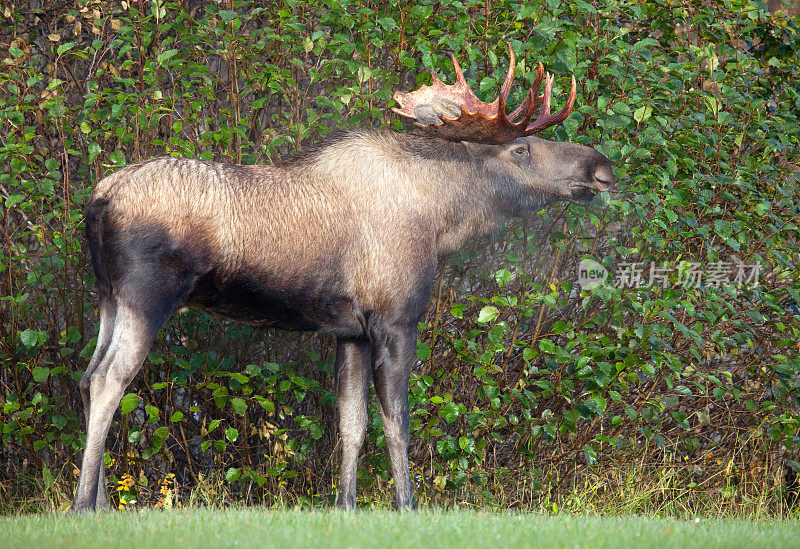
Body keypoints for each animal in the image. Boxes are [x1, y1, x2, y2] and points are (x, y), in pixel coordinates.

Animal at [72, 46, 616, 510]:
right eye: (521, 147)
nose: (601, 168)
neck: (443, 219)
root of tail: (99, 199)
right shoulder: (396, 319)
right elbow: (396, 423)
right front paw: (407, 505)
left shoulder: (350, 331)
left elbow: (351, 423)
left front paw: (346, 505)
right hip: (147, 296)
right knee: (107, 378)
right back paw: (83, 506)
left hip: (108, 297)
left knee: (85, 375)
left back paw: (102, 503)